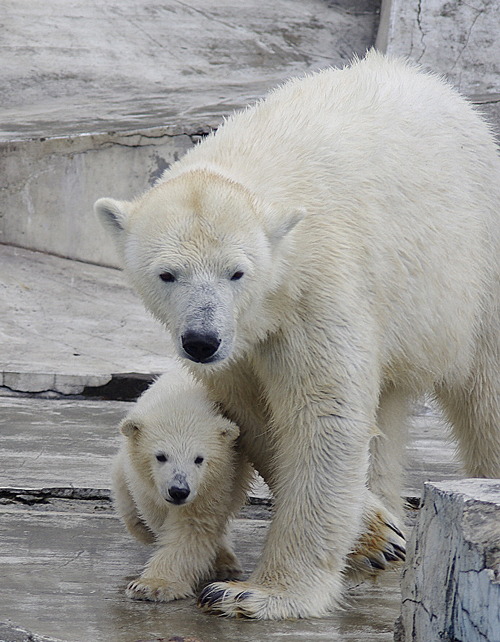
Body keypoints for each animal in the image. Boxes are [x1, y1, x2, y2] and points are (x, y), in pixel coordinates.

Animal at [114, 364, 254, 600]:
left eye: (199, 459)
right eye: (161, 456)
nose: (179, 491)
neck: (181, 404)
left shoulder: (217, 479)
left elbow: (191, 527)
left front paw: (152, 585)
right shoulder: (143, 481)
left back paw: (225, 562)